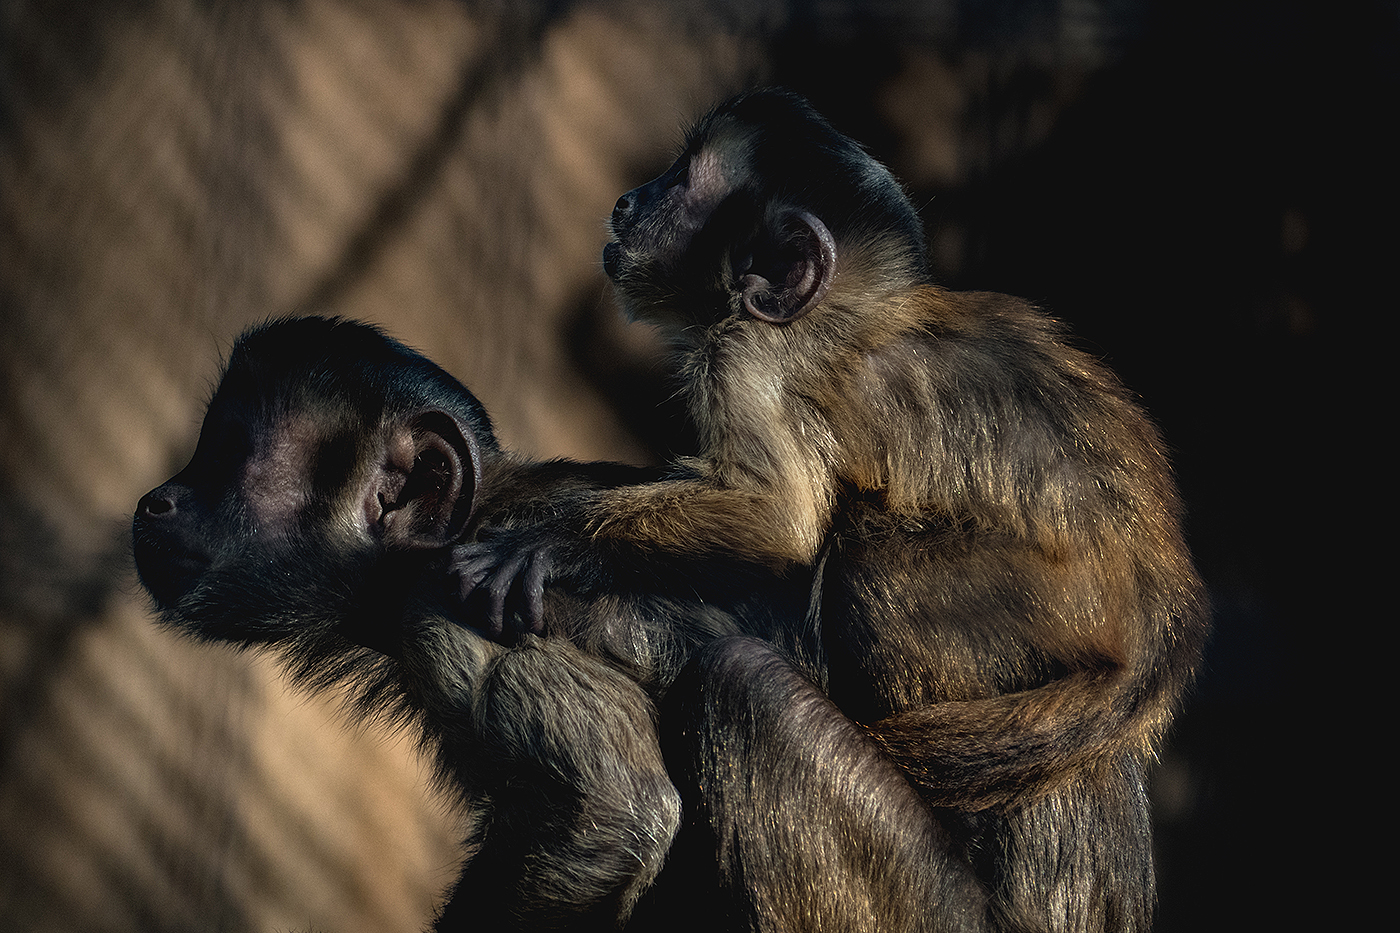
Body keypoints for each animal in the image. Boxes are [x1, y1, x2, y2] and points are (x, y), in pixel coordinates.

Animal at [455, 88, 1210, 932]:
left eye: (680, 181)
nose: (628, 201)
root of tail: (1168, 606)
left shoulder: (746, 353)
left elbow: (776, 515)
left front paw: (550, 542)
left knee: (849, 587)